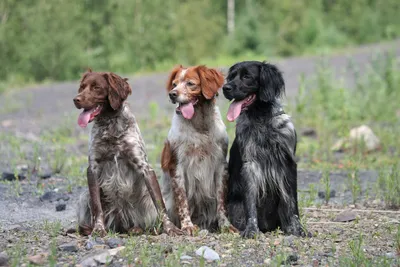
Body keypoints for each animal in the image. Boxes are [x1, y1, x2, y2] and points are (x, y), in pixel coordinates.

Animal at [74, 70, 183, 238]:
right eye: (82, 87)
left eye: (96, 87)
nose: (76, 99)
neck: (110, 125)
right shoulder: (92, 168)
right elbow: (97, 207)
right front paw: (98, 228)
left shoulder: (144, 167)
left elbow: (160, 206)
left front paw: (170, 228)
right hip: (84, 196)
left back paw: (136, 228)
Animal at [161, 65, 239, 237]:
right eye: (174, 84)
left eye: (190, 83)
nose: (172, 94)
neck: (199, 125)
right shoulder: (177, 167)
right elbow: (182, 201)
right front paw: (187, 226)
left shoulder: (220, 166)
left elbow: (221, 203)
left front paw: (225, 225)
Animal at [222, 61, 306, 239]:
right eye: (231, 76)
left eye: (247, 76)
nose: (225, 88)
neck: (262, 119)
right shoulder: (250, 165)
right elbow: (250, 204)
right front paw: (252, 230)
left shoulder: (288, 163)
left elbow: (292, 203)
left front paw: (298, 229)